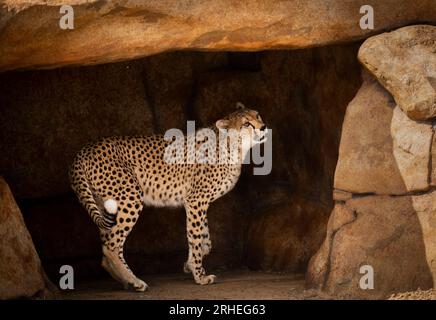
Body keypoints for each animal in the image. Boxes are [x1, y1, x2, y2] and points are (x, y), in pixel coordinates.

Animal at [68, 102, 268, 290]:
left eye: (257, 115)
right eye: (246, 124)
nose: (263, 127)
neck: (233, 146)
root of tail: (85, 149)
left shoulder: (195, 202)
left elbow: (205, 241)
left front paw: (189, 265)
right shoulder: (196, 200)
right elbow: (196, 238)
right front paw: (200, 276)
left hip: (104, 203)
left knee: (106, 247)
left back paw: (126, 281)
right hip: (130, 197)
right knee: (111, 246)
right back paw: (134, 281)